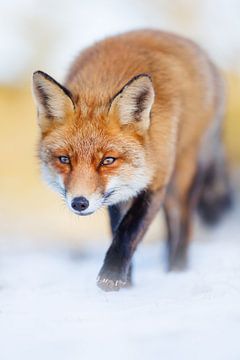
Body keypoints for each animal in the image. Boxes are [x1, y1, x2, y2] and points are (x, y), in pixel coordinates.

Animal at [31, 29, 231, 292]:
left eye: (107, 160)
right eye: (64, 159)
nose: (79, 203)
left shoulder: (156, 180)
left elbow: (129, 230)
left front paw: (111, 277)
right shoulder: (117, 194)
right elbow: (117, 229)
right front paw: (127, 284)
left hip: (182, 177)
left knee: (184, 223)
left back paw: (177, 269)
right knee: (171, 226)